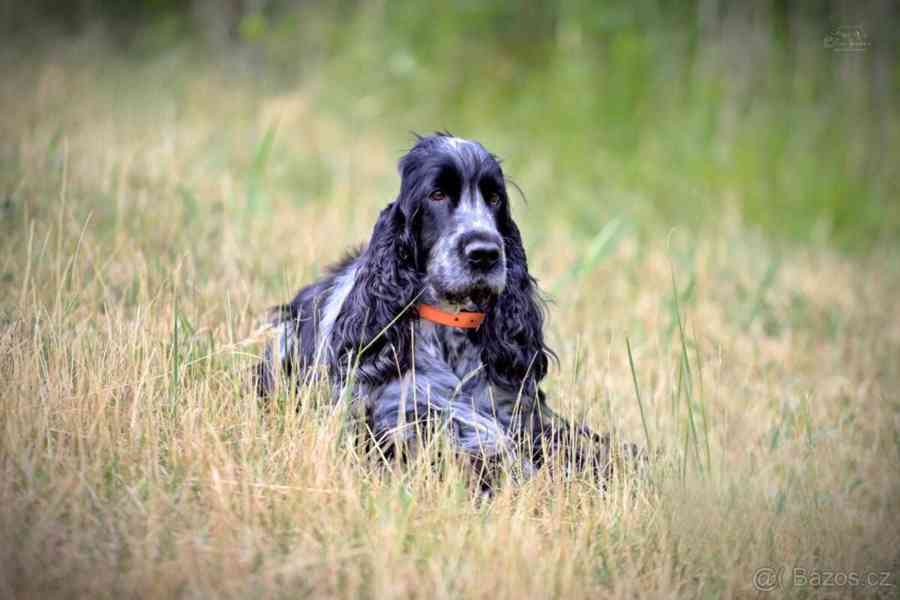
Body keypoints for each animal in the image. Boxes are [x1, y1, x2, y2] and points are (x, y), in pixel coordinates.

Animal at [255, 132, 632, 482]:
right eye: (437, 195)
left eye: (494, 198)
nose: (485, 253)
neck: (451, 329)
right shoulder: (399, 417)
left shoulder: (524, 417)